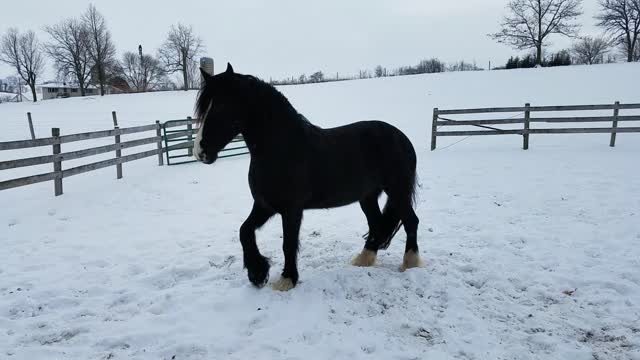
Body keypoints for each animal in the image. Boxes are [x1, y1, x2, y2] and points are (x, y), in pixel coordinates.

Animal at [195, 63, 424, 292]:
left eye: (221, 106)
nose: (200, 152)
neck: (281, 148)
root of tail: (401, 137)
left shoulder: (291, 210)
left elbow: (288, 243)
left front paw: (286, 280)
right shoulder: (264, 205)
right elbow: (244, 231)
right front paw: (257, 273)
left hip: (397, 190)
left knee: (411, 221)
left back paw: (410, 263)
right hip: (367, 197)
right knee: (377, 225)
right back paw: (363, 259)